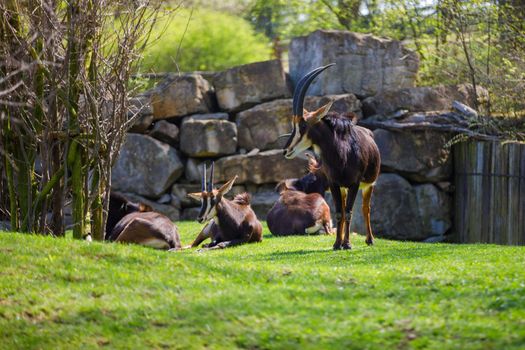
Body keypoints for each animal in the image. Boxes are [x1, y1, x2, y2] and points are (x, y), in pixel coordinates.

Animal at [282, 63, 380, 249]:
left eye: (303, 125)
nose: (286, 150)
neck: (341, 154)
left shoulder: (355, 183)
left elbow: (348, 212)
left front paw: (347, 244)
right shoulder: (334, 183)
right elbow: (339, 213)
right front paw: (337, 244)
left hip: (368, 184)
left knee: (366, 208)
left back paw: (370, 239)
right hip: (342, 188)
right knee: (344, 207)